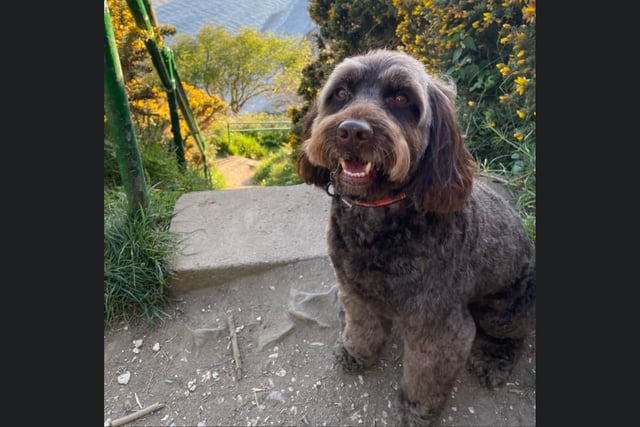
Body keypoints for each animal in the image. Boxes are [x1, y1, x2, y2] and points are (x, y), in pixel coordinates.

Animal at [296, 49, 536, 424]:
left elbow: (427, 372)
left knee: (514, 335)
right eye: (341, 94)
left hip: (507, 309)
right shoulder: (354, 290)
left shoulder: (438, 325)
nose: (352, 131)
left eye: (401, 99)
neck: (377, 215)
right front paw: (356, 351)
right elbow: (362, 325)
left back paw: (493, 358)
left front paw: (417, 410)